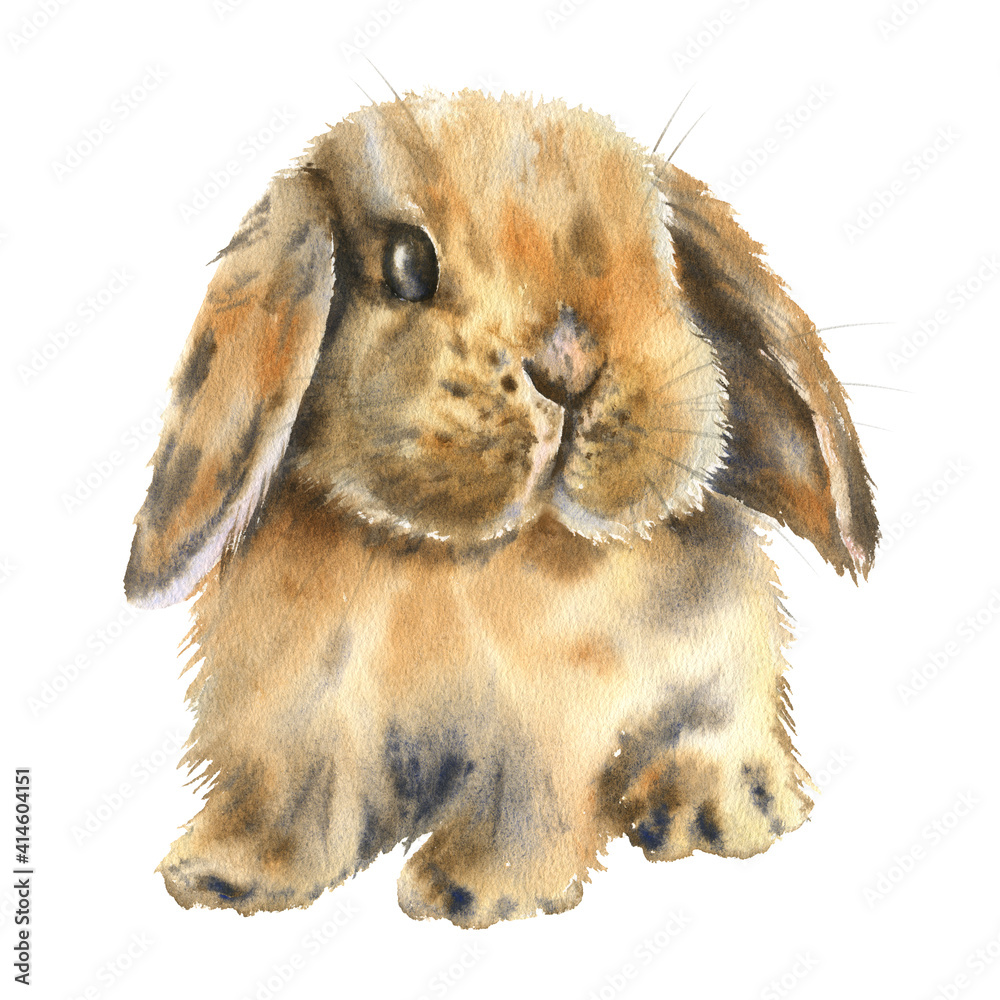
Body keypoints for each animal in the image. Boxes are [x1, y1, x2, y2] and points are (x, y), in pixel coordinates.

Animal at [124, 88, 877, 928]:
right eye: (408, 263)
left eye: (661, 265)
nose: (569, 365)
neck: (440, 554)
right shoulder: (296, 716)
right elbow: (290, 792)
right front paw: (224, 875)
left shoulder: (553, 731)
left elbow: (530, 804)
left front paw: (469, 892)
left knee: (736, 736)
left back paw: (715, 811)